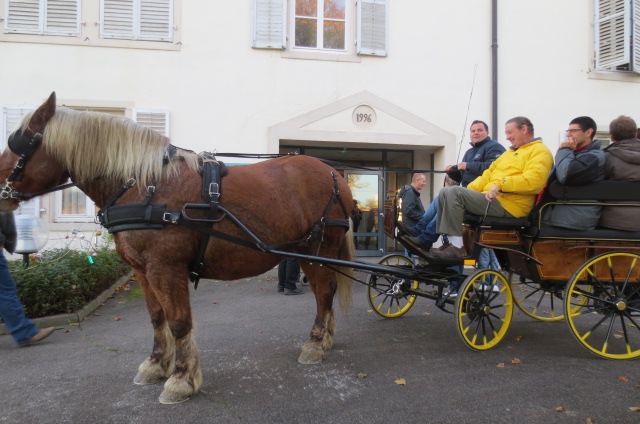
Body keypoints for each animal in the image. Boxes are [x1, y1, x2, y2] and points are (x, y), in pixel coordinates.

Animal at [0, 93, 356, 404]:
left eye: (19, 144)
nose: (1, 193)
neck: (144, 187)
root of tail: (334, 173)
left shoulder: (166, 267)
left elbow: (179, 322)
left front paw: (181, 379)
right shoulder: (142, 270)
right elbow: (158, 318)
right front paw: (156, 364)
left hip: (320, 250)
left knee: (324, 292)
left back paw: (314, 343)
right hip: (307, 253)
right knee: (323, 291)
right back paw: (325, 337)